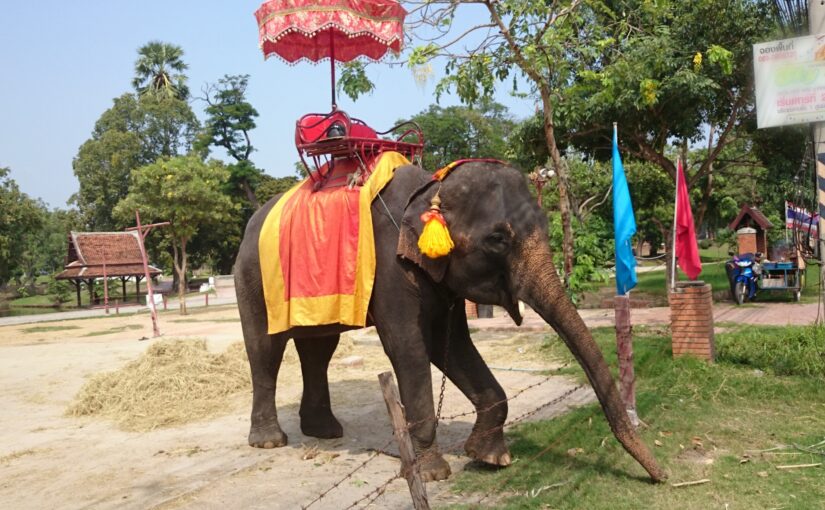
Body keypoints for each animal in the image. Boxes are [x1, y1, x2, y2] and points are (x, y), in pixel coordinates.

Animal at [234, 161, 666, 483]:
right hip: (252, 277)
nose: (661, 477)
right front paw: (432, 473)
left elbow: (452, 345)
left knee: (319, 349)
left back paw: (324, 431)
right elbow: (408, 346)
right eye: (498, 240)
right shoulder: (390, 268)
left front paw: (488, 458)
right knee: (266, 349)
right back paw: (270, 441)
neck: (430, 190)